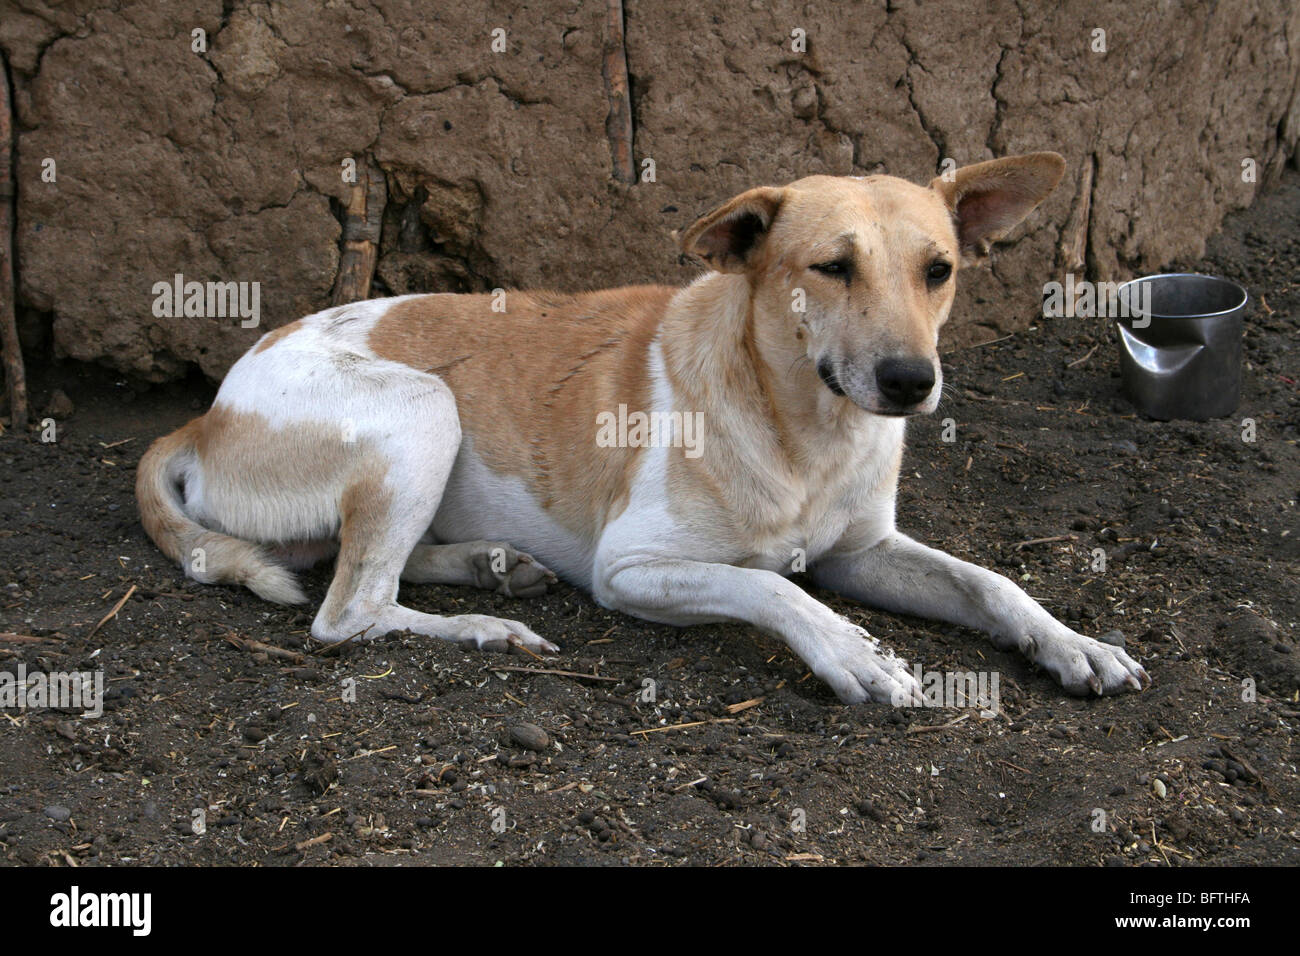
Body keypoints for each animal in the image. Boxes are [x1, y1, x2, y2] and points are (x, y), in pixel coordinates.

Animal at [139, 153, 1149, 707]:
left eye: (938, 271)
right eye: (831, 268)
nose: (911, 381)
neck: (804, 433)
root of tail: (205, 412)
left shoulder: (862, 552)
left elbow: (990, 583)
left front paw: (1074, 644)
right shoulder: (631, 567)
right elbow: (772, 588)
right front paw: (852, 654)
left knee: (371, 569)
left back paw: (488, 566)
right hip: (425, 408)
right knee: (347, 613)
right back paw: (486, 626)